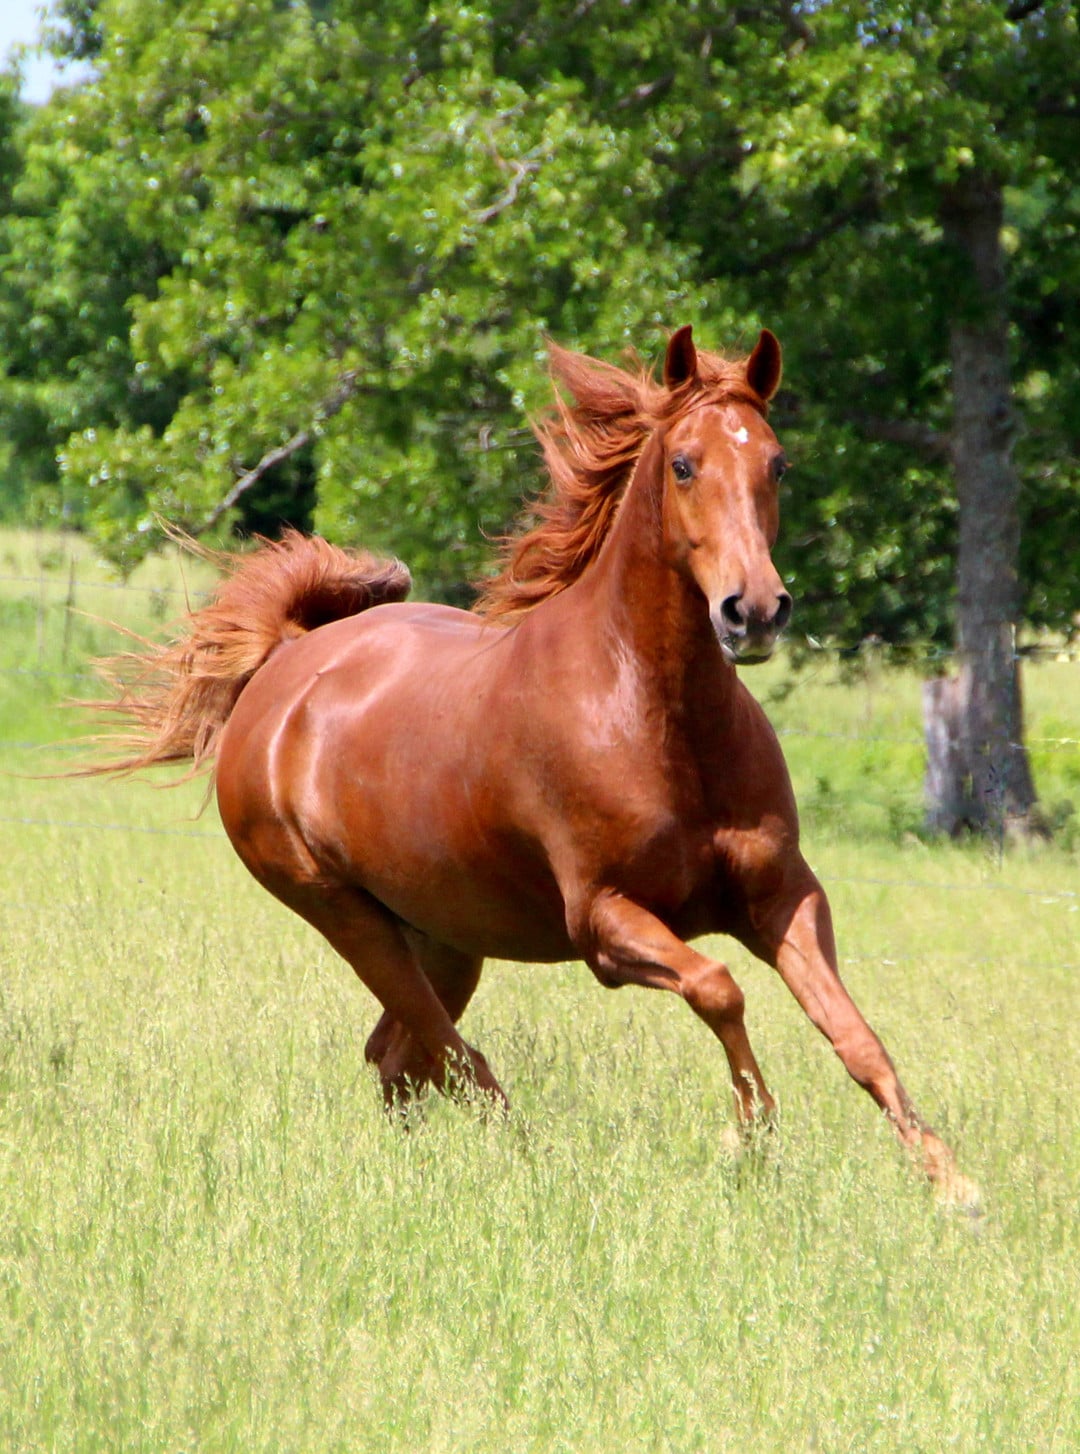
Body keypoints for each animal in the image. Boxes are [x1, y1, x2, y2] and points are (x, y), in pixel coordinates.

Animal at [85, 325, 978, 1208]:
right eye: (684, 464)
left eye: (777, 462)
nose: (753, 611)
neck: (655, 716)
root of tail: (284, 664)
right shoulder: (606, 923)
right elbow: (720, 987)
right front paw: (748, 1142)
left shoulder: (784, 896)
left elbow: (856, 1036)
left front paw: (951, 1181)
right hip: (344, 917)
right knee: (452, 1059)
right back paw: (532, 1165)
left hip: (443, 936)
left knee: (400, 1057)